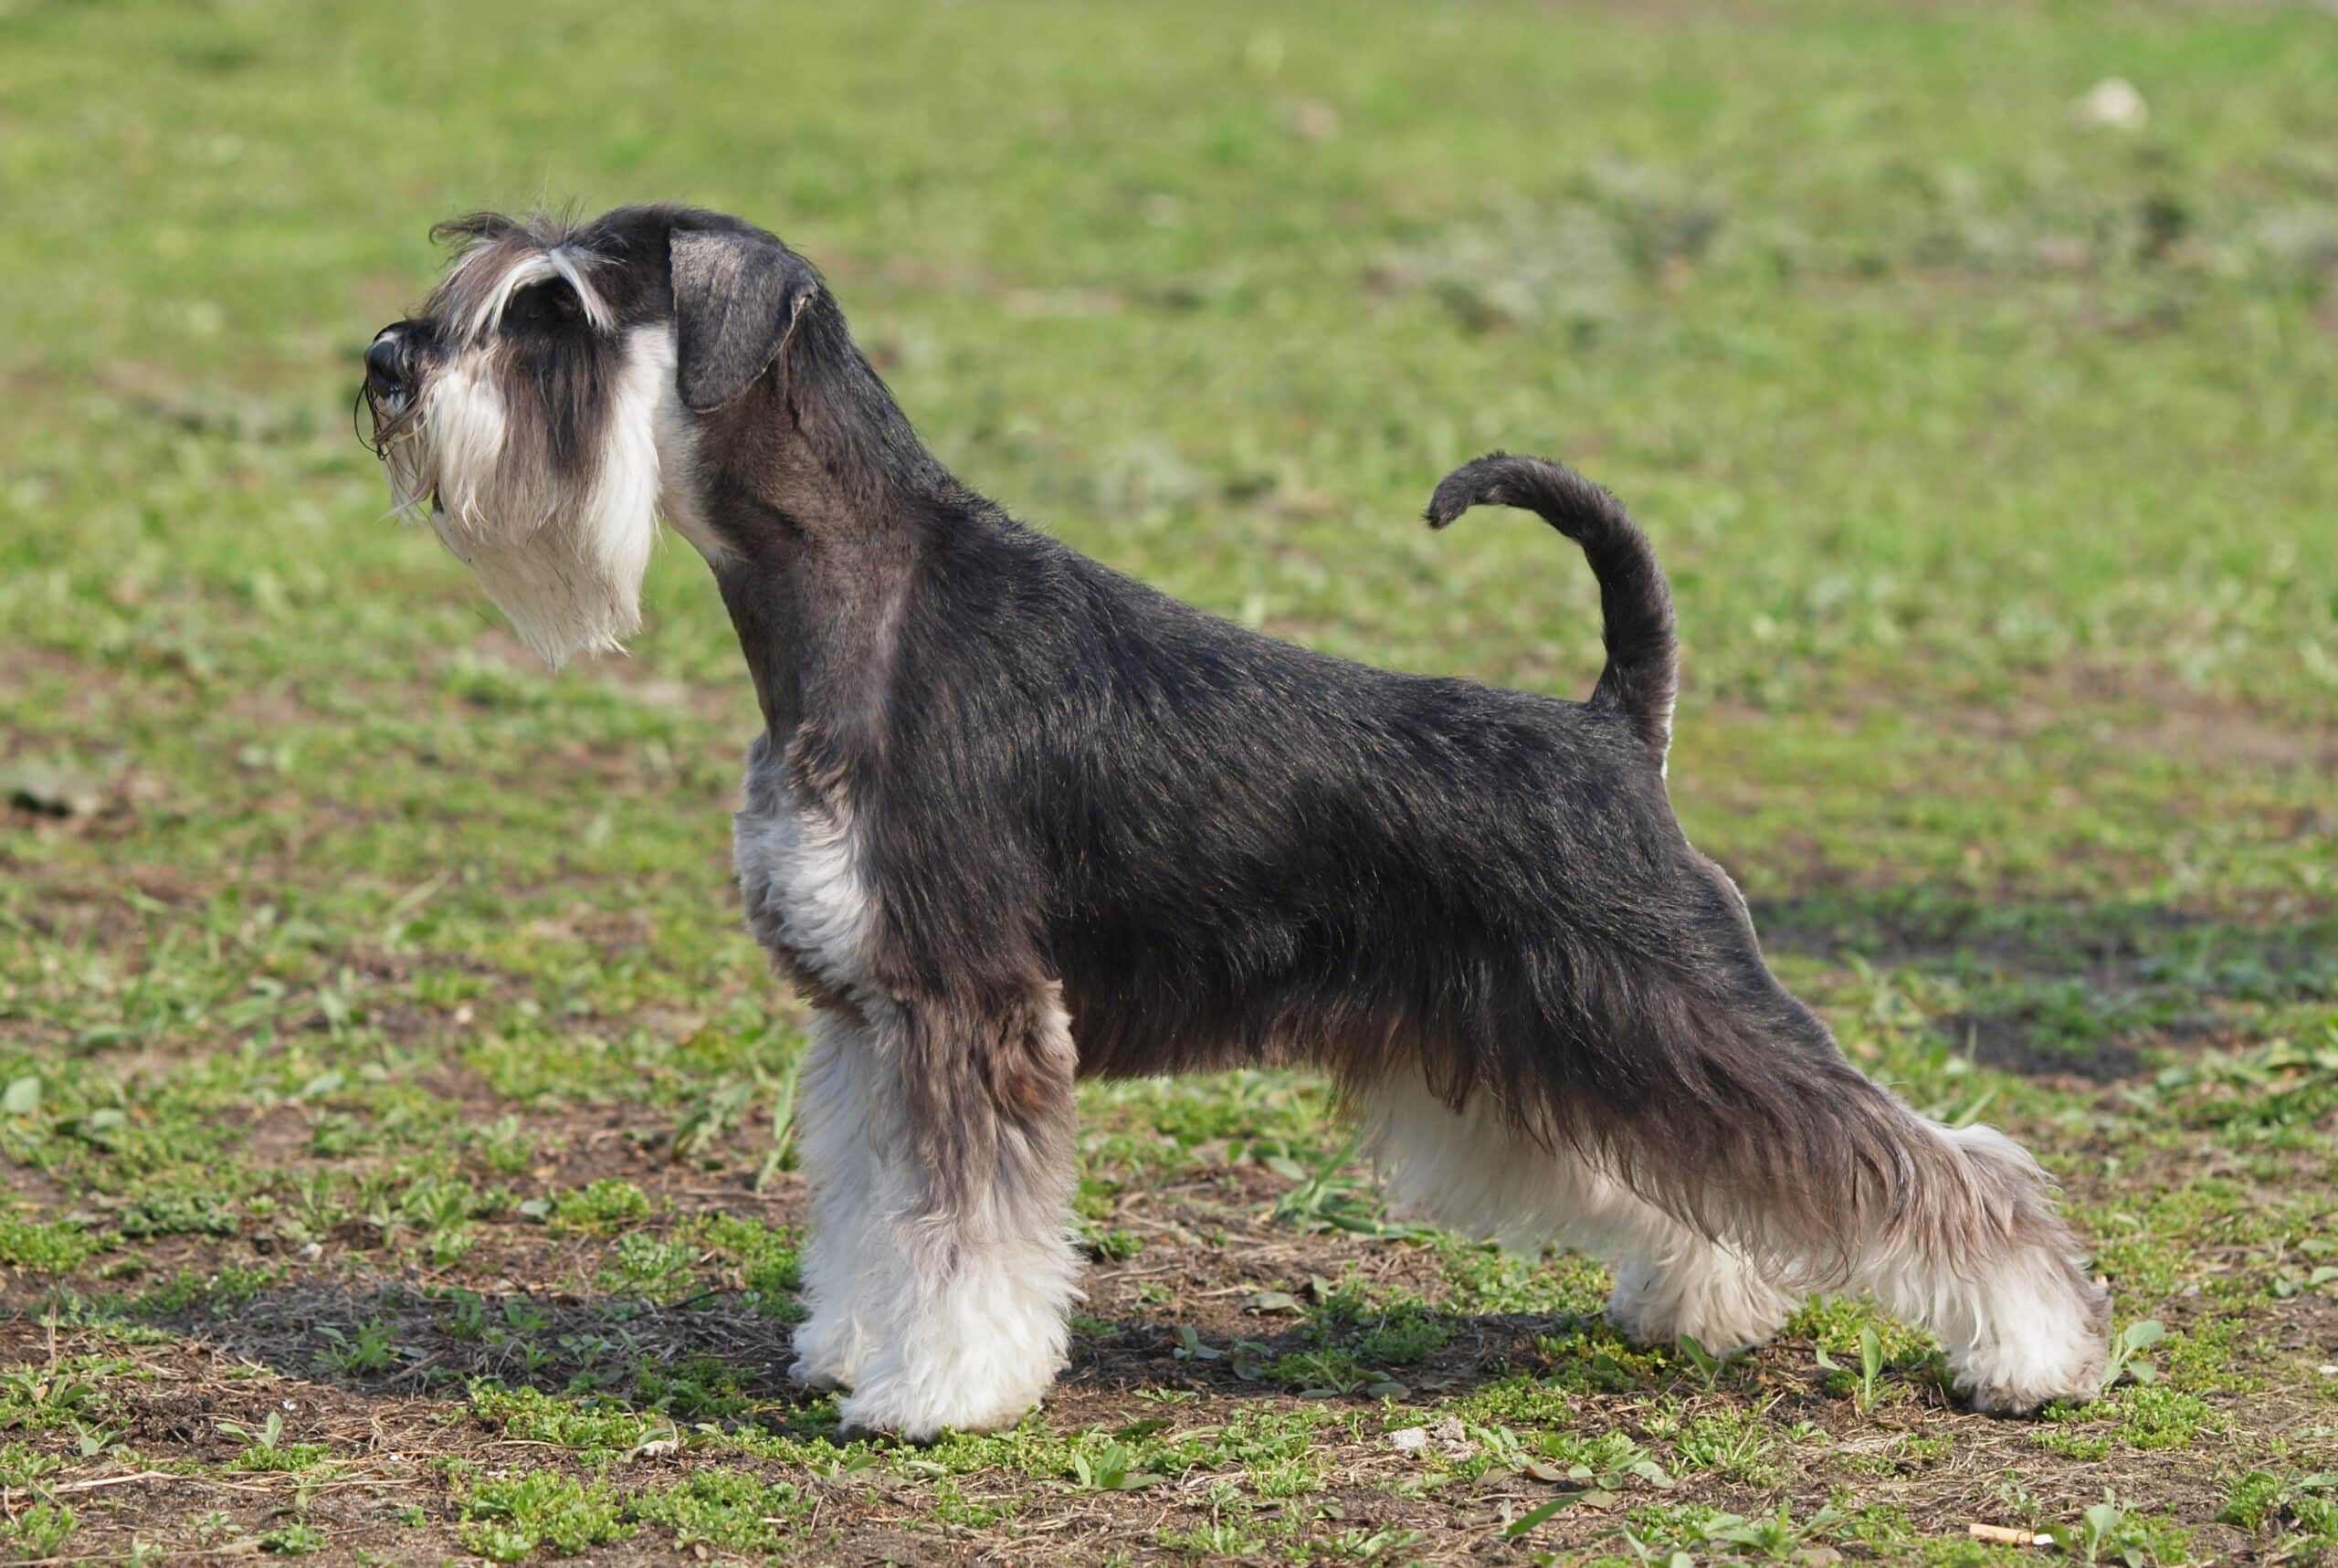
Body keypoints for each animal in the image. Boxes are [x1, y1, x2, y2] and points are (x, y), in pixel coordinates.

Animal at [364, 202, 2122, 1439]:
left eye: (554, 311)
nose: (391, 365)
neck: (855, 602)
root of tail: (1615, 724)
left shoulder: (970, 1009)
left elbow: (963, 1232)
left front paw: (940, 1390)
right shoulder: (870, 1022)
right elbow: (877, 1210)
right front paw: (849, 1349)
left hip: (1665, 1006)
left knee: (1936, 1166)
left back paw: (2035, 1354)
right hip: (1548, 1046)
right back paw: (1710, 1306)